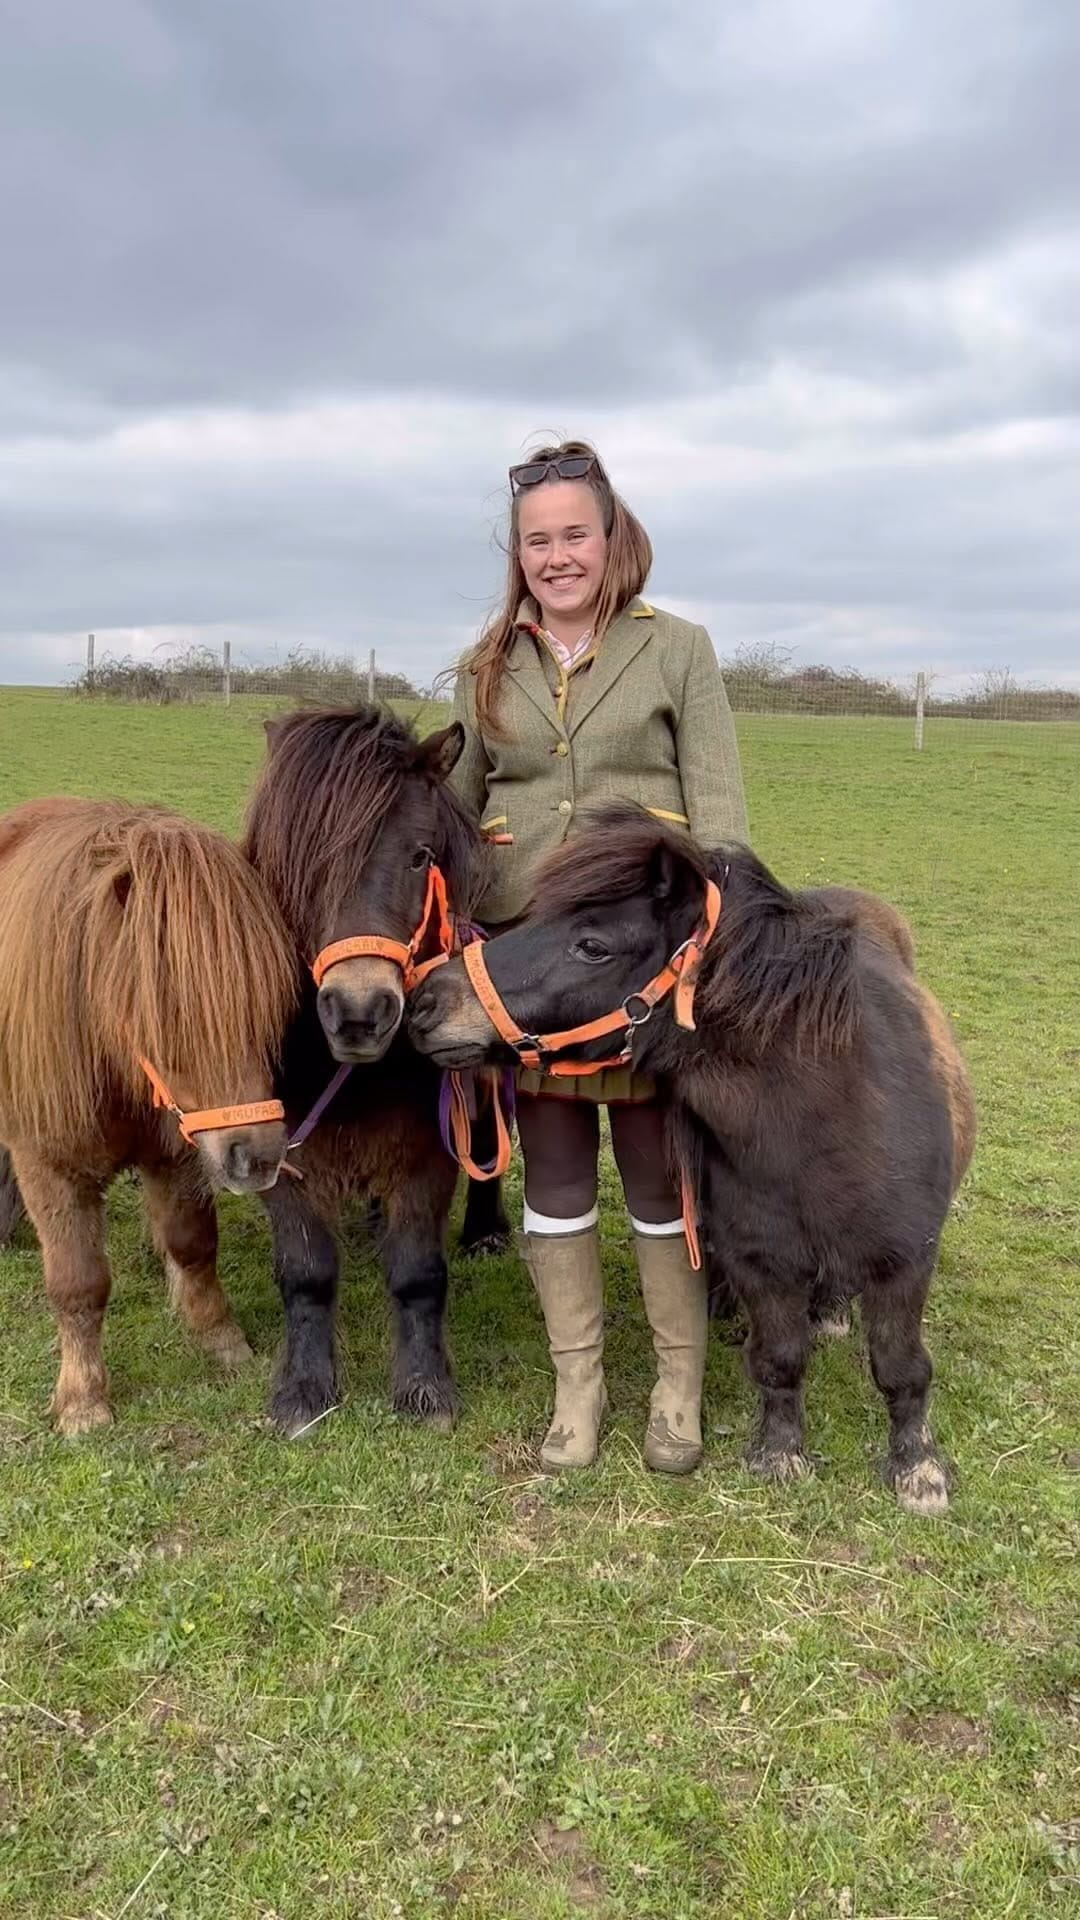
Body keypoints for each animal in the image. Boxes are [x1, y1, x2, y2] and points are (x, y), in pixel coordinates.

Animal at [0, 797, 297, 1433]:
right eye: (170, 1011)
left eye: (267, 1006)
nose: (259, 1156)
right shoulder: (50, 1167)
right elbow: (78, 1281)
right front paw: (82, 1401)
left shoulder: (176, 1154)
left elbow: (192, 1243)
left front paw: (218, 1336)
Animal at [241, 704, 507, 1438]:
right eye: (296, 859)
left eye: (420, 855)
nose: (360, 1011)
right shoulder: (282, 1156)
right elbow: (305, 1271)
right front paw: (304, 1390)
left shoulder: (427, 1154)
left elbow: (417, 1272)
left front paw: (424, 1388)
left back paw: (487, 1232)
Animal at [407, 805, 975, 1515]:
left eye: (592, 945)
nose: (425, 1000)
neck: (824, 1115)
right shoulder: (763, 1259)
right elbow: (779, 1357)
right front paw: (780, 1455)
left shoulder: (905, 1259)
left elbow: (903, 1368)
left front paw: (918, 1469)